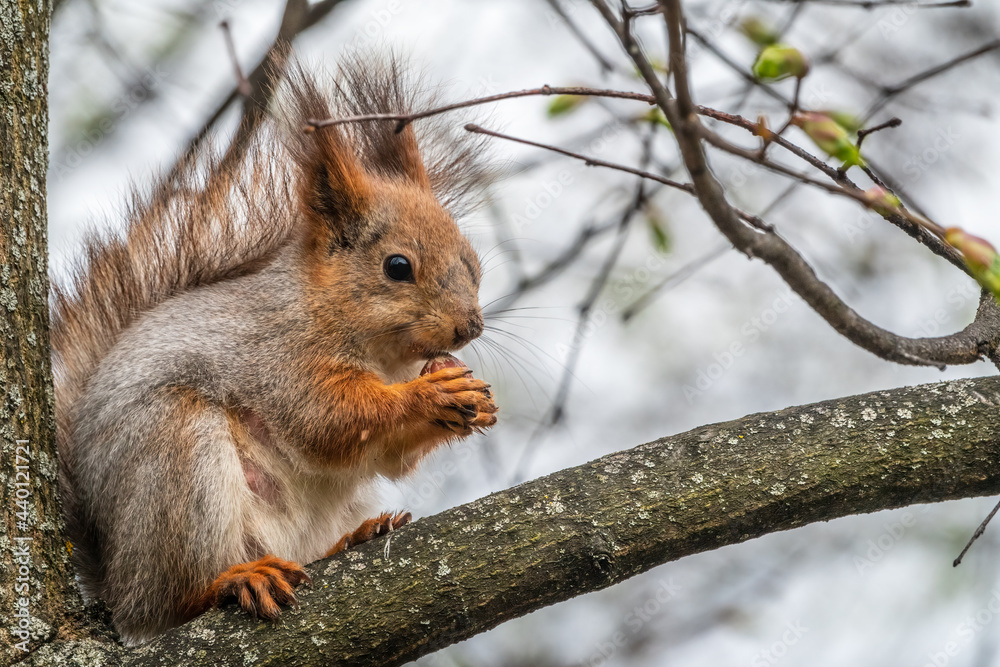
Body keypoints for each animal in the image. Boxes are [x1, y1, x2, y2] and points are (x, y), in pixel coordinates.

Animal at [50, 56, 498, 645]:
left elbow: (392, 457)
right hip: (177, 460)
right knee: (177, 599)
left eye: (474, 260)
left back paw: (357, 536)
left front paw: (471, 398)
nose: (470, 327)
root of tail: (119, 588)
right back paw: (235, 579)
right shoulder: (279, 358)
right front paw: (428, 395)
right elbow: (328, 420)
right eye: (397, 267)